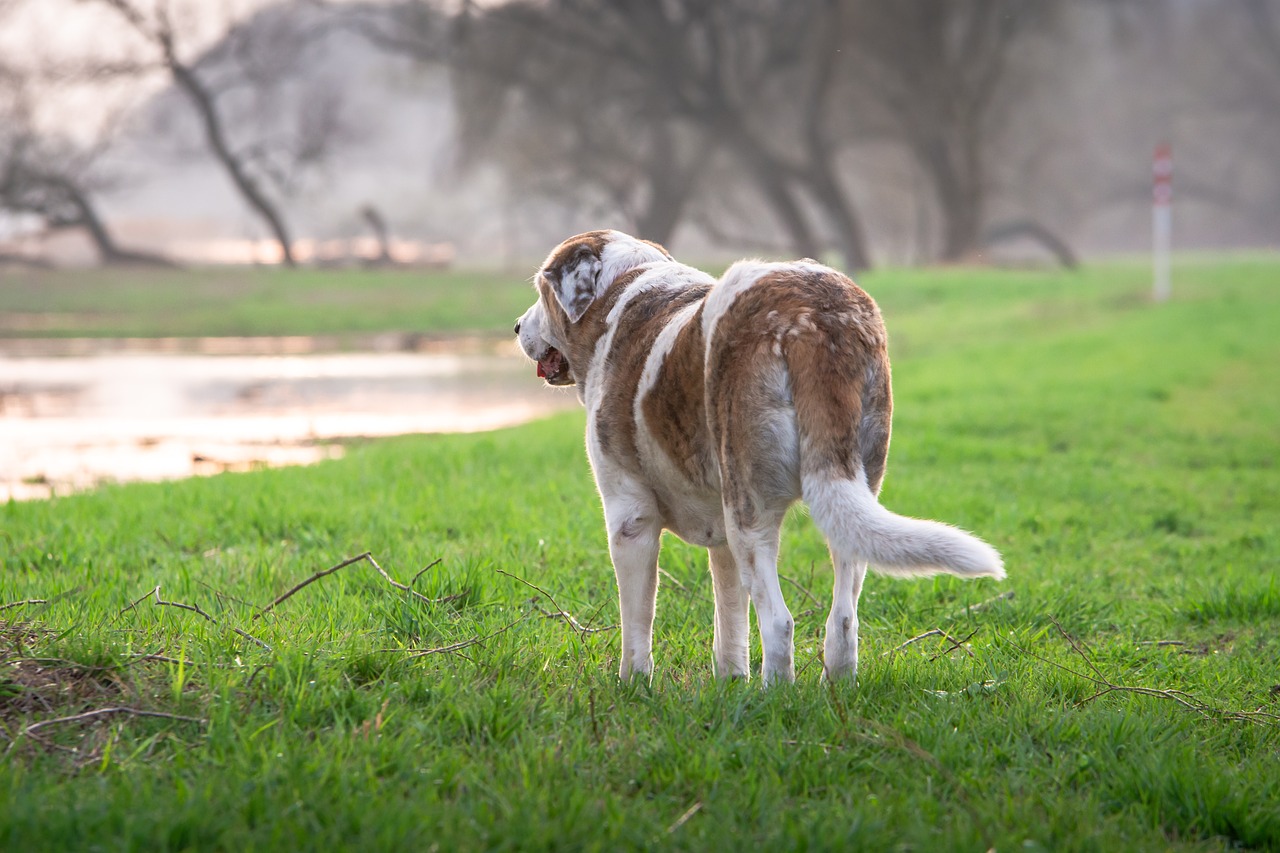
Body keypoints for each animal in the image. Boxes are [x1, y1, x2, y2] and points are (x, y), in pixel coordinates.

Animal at [514, 229, 1003, 681]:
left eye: (540, 289)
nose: (517, 327)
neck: (621, 289)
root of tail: (817, 318)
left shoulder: (630, 521)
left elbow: (638, 626)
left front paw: (632, 688)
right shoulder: (721, 538)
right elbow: (730, 621)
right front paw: (732, 683)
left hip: (751, 514)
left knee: (779, 623)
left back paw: (776, 698)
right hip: (840, 498)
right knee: (843, 620)